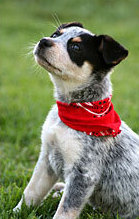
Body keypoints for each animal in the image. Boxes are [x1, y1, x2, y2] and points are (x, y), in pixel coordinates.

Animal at [14, 21, 139, 217]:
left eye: (75, 47)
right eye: (56, 35)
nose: (43, 41)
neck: (76, 109)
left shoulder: (83, 173)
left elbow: (65, 210)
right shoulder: (47, 158)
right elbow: (31, 192)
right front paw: (16, 212)